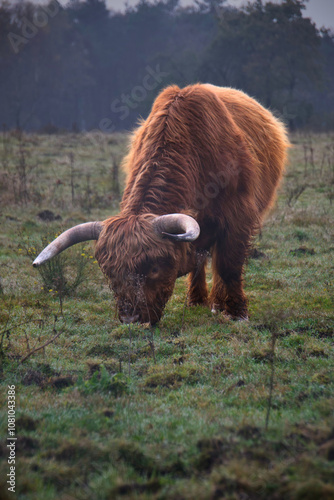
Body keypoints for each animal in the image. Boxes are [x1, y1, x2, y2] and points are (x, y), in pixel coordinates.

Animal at [34, 83, 290, 324]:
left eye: (154, 267)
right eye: (109, 272)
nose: (131, 319)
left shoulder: (238, 216)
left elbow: (229, 266)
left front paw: (237, 313)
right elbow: (200, 260)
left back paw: (218, 304)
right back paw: (197, 301)